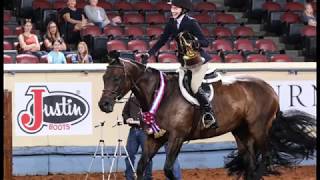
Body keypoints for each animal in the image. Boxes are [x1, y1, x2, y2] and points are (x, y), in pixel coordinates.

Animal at [99, 52, 316, 179]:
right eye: (103, 77)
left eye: (116, 78)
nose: (104, 105)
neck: (161, 95)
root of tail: (270, 89)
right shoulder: (155, 138)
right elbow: (142, 166)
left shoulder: (177, 137)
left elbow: (168, 169)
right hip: (241, 132)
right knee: (250, 162)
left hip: (258, 129)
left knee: (266, 158)